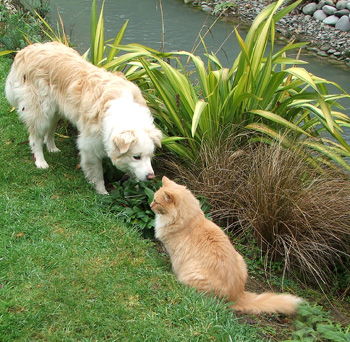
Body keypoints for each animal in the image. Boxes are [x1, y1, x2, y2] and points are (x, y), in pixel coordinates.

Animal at [5, 41, 161, 194]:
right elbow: (97, 174)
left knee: (50, 130)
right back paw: (41, 162)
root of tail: (27, 50)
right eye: (136, 157)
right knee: (35, 138)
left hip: (56, 110)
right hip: (41, 112)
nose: (151, 177)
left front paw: (137, 188)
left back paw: (52, 148)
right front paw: (102, 193)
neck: (124, 111)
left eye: (150, 156)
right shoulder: (90, 146)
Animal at [152, 178, 302, 314]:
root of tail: (237, 296)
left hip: (194, 275)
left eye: (157, 201)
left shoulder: (174, 253)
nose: (150, 205)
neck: (190, 218)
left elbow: (173, 263)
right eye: (153, 199)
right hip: (241, 259)